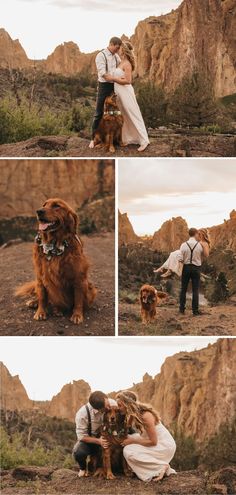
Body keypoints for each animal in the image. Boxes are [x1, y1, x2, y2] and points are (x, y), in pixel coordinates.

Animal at [15, 198, 97, 326]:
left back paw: (57, 310)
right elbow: (43, 297)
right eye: (44, 205)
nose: (39, 211)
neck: (54, 245)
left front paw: (77, 315)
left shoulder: (79, 278)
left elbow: (78, 299)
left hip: (90, 287)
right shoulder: (41, 276)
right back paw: (35, 302)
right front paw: (40, 312)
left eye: (56, 206)